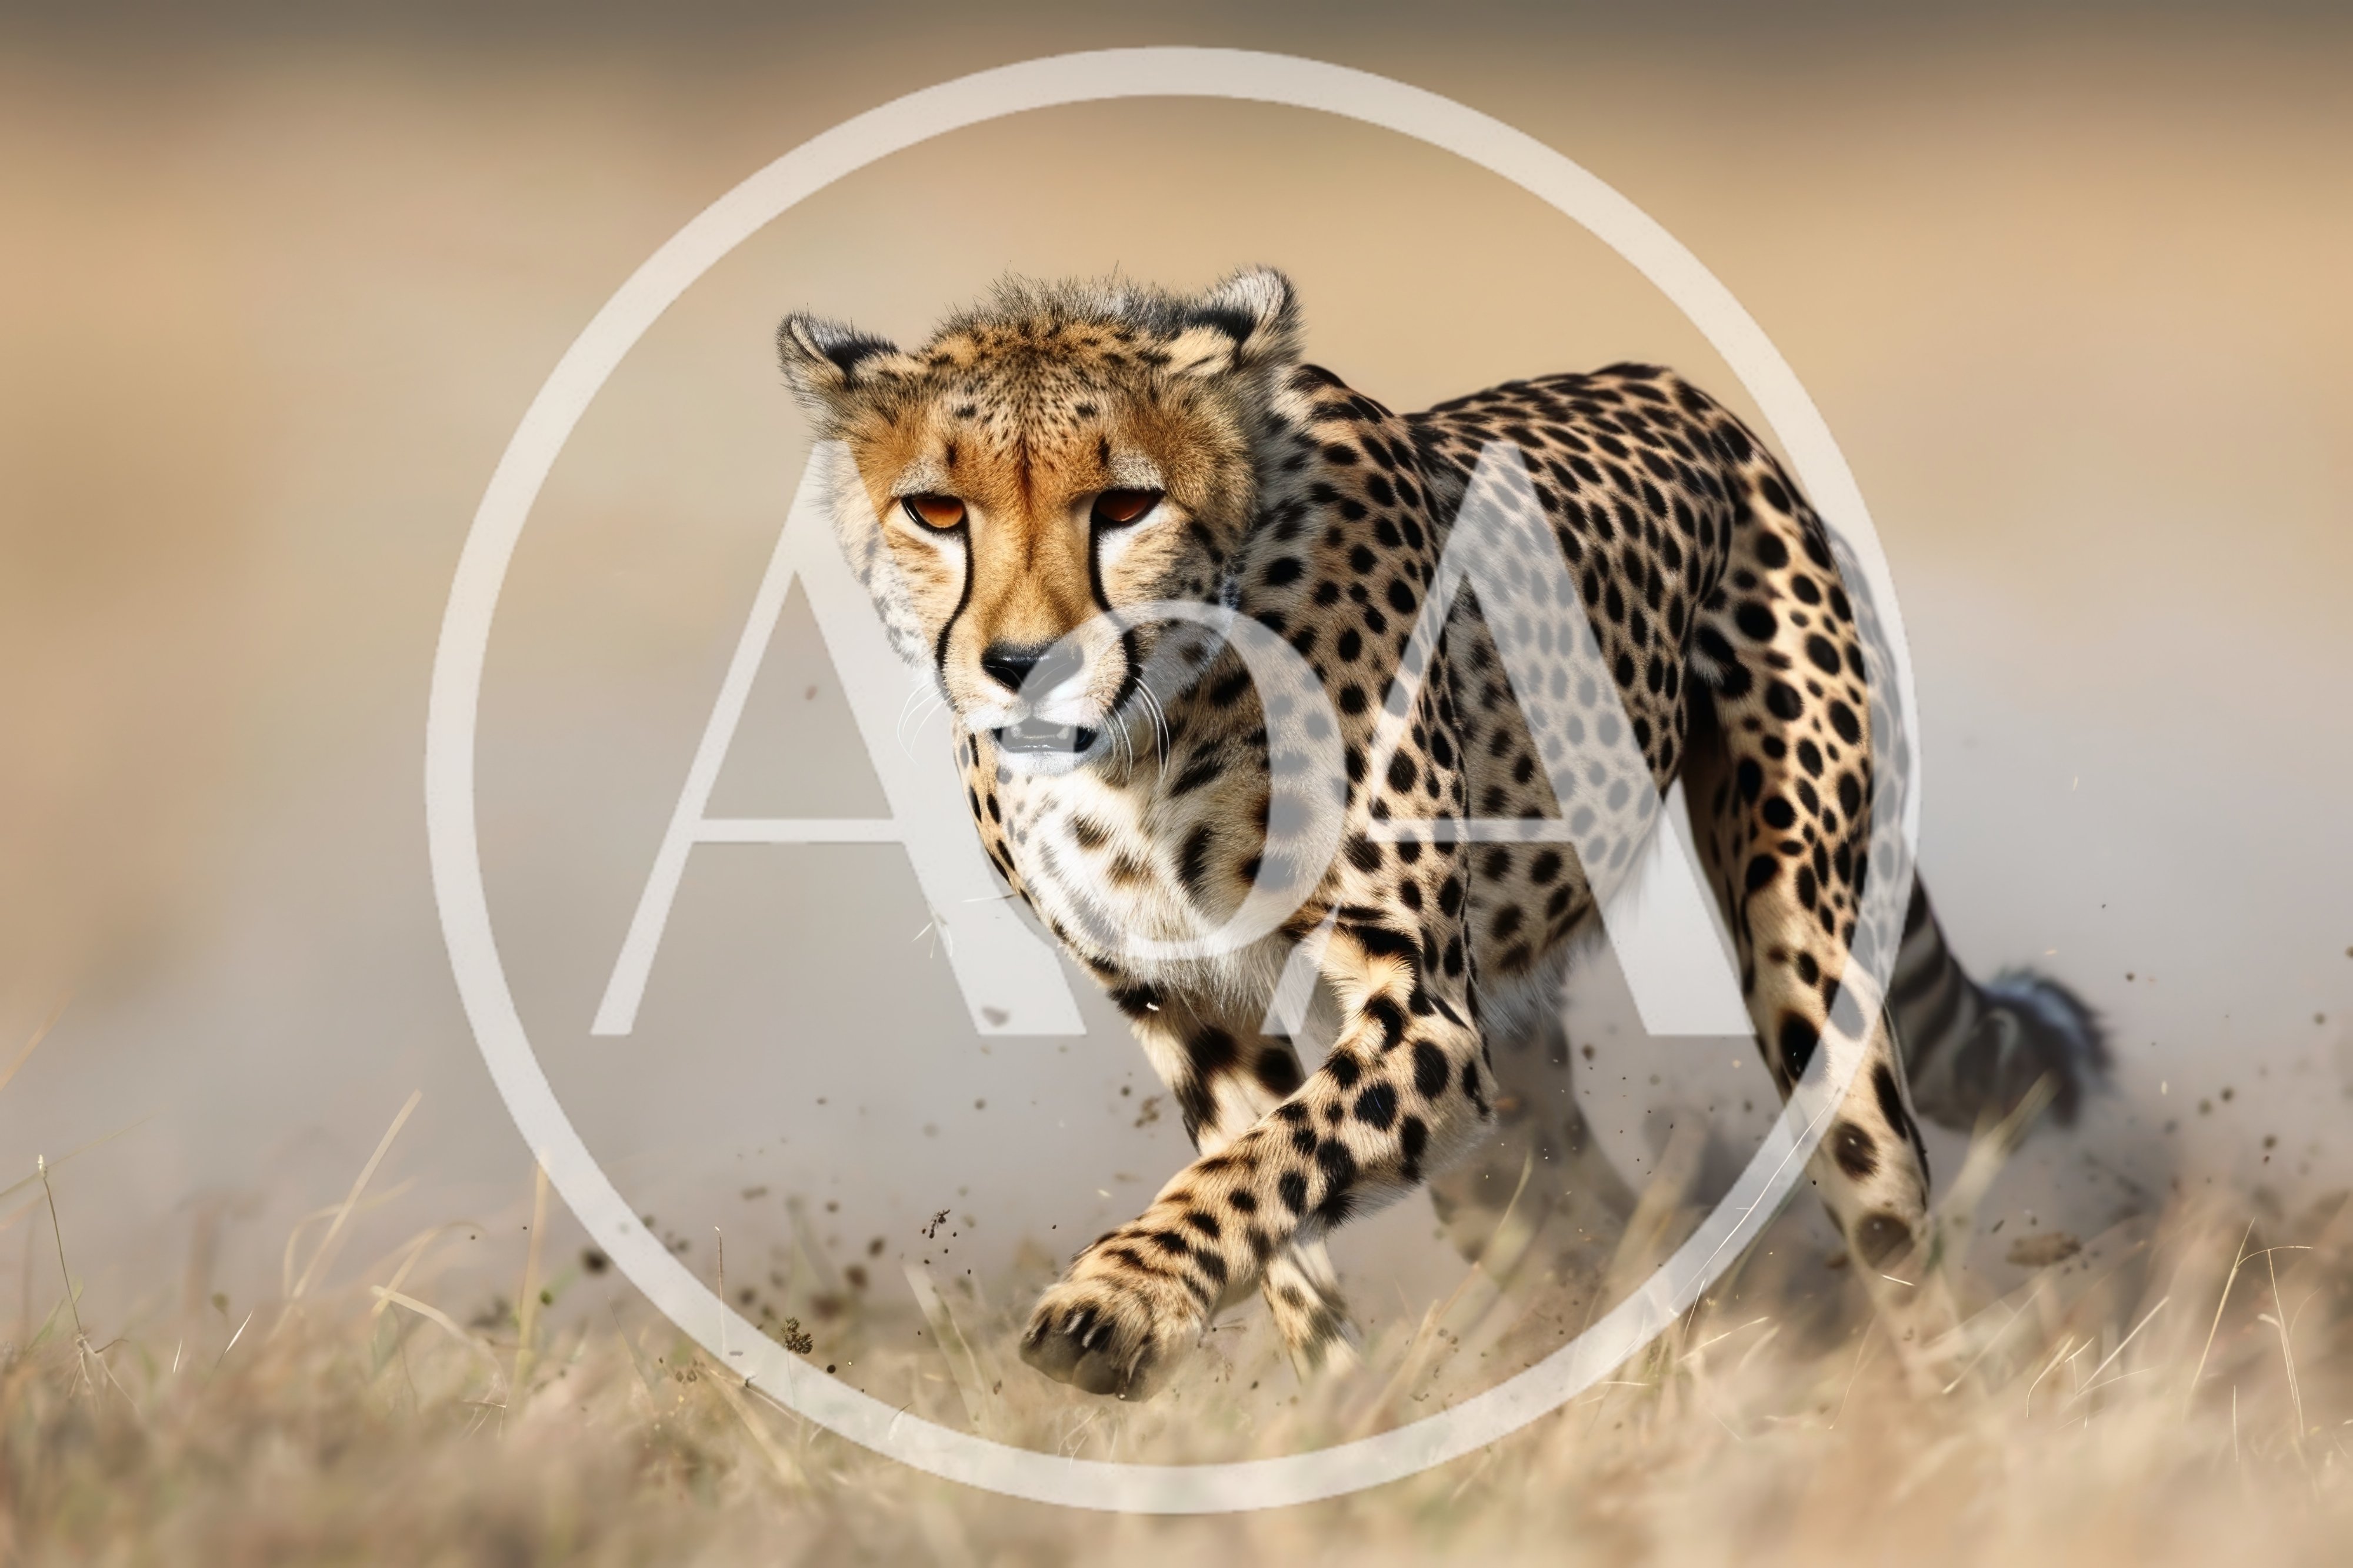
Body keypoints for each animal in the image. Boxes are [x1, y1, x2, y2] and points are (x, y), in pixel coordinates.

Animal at [776, 266, 2106, 1400]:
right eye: (935, 510)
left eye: (1126, 504)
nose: (1023, 666)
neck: (1148, 726)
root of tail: (1691, 398)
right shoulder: (1189, 1005)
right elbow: (1265, 1201)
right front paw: (1328, 1413)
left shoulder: (1420, 1007)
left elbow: (1258, 1167)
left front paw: (1117, 1305)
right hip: (1507, 1102)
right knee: (1596, 1230)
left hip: (1804, 957)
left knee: (1885, 1223)